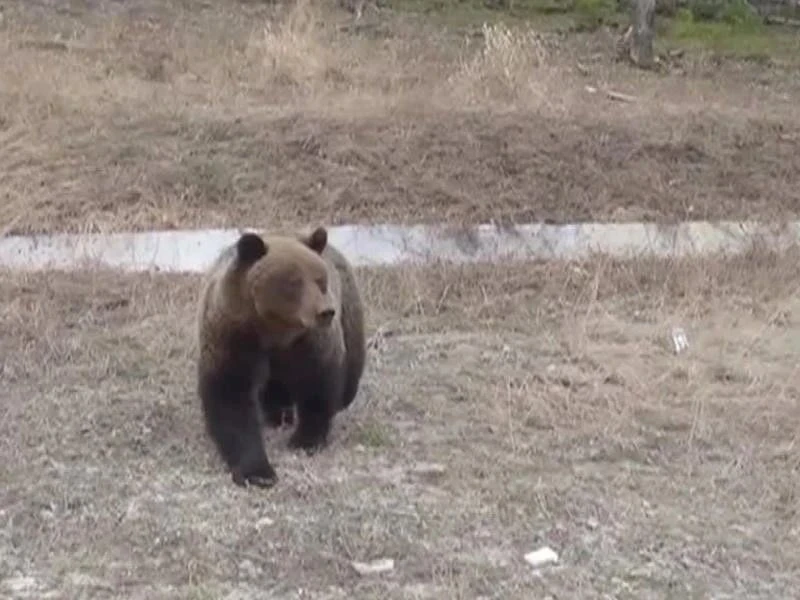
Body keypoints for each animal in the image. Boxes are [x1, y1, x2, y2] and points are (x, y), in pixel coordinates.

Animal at [195, 225, 366, 488]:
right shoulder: (233, 335)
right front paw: (258, 471)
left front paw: (305, 439)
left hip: (349, 311)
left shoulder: (309, 341)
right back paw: (276, 414)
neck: (275, 329)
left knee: (349, 377)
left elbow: (318, 383)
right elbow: (231, 395)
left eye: (320, 280)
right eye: (294, 281)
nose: (325, 311)